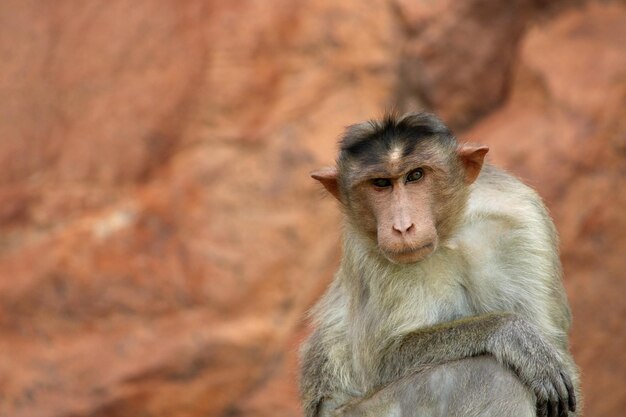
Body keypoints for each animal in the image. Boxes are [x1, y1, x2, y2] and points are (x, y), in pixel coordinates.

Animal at [300, 111, 576, 416]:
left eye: (416, 175)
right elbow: (383, 362)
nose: (402, 227)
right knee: (491, 374)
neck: (450, 235)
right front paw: (508, 331)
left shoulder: (524, 221)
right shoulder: (365, 251)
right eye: (381, 183)